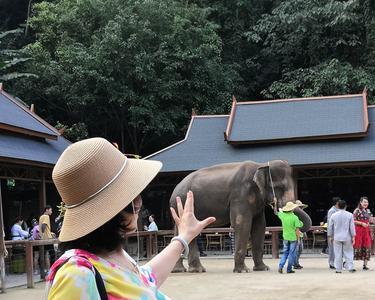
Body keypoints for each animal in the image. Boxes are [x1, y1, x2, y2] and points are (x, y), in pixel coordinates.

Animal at [170, 161, 312, 274]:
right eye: (279, 187)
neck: (261, 165)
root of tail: (175, 189)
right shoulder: (240, 195)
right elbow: (242, 223)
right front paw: (243, 271)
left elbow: (260, 226)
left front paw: (262, 269)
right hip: (181, 203)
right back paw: (187, 270)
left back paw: (190, 270)